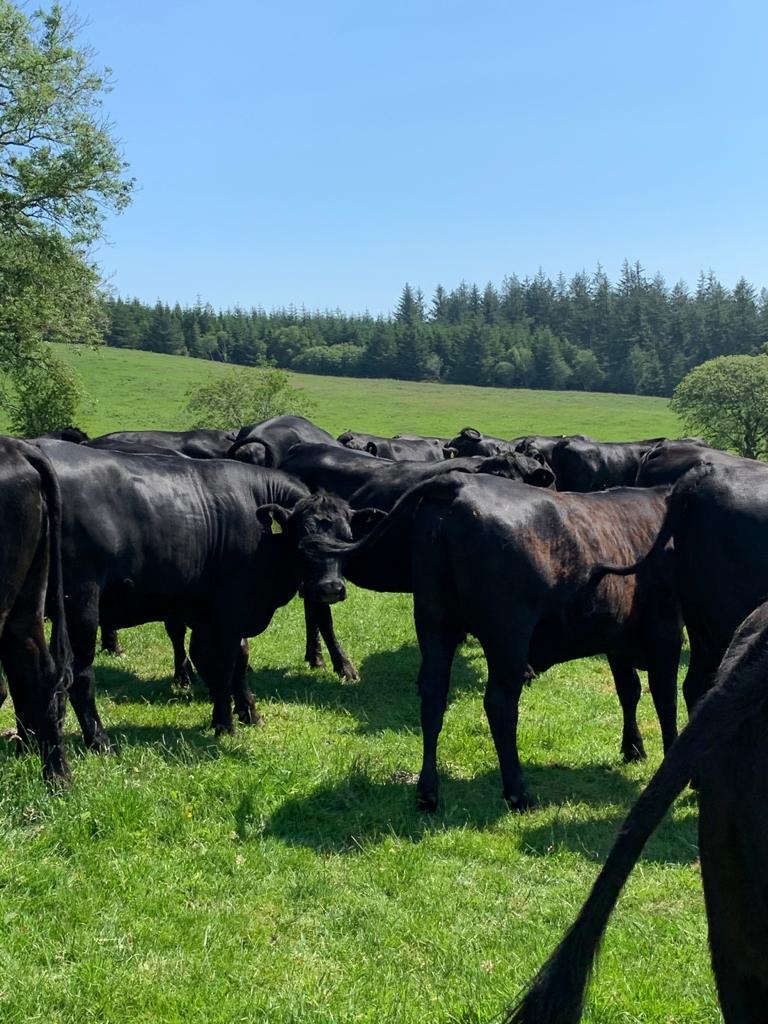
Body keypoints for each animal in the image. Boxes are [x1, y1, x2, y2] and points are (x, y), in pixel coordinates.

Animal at [35, 441, 372, 750]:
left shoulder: (216, 614)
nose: (330, 589)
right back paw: (99, 740)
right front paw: (225, 723)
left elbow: (236, 660)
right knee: (79, 675)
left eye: (347, 539)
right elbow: (223, 666)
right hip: (81, 607)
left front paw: (247, 712)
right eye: (302, 539)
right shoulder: (229, 613)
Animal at [303, 474, 683, 810]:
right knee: (500, 705)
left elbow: (629, 691)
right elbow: (664, 699)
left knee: (432, 698)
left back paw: (428, 793)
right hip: (507, 637)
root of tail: (458, 484)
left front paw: (633, 748)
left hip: (435, 624)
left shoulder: (617, 639)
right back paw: (518, 793)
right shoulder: (666, 632)